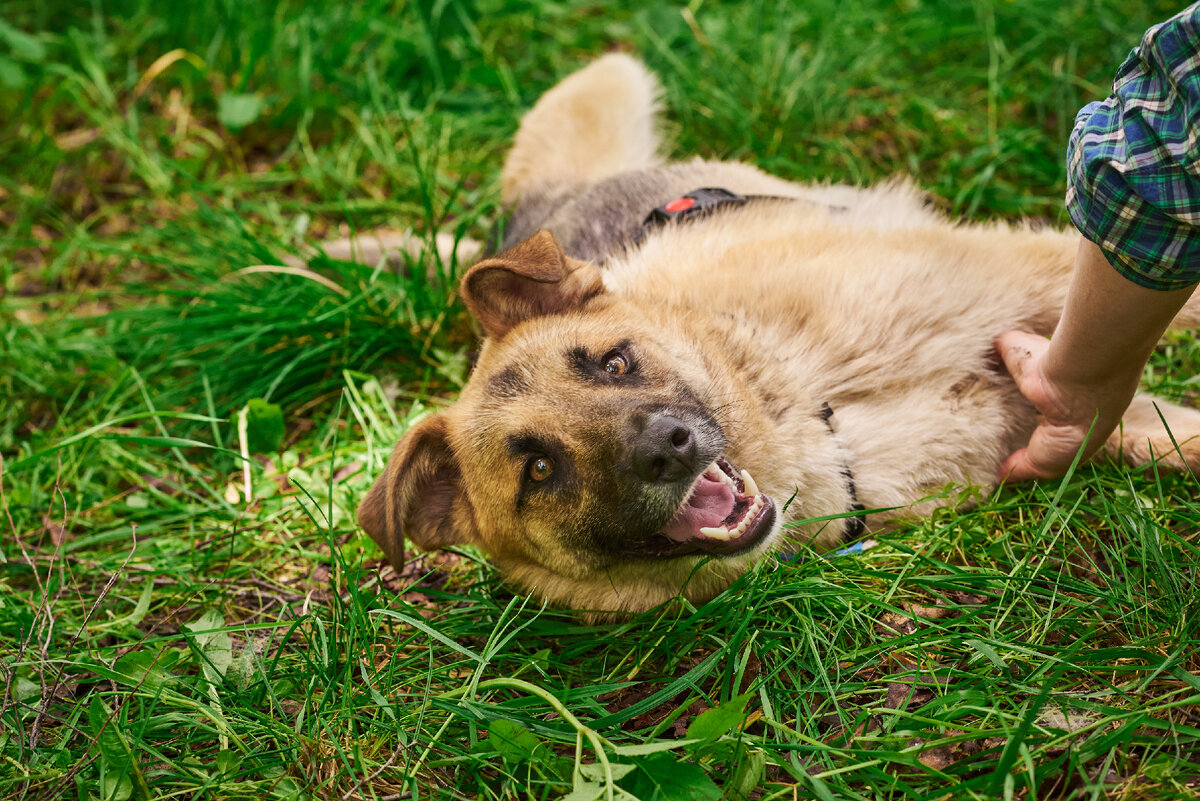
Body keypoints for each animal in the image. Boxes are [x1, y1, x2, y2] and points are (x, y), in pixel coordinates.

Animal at [355, 56, 1200, 618]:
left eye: (613, 362)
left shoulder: (1038, 283)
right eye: (537, 469)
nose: (670, 448)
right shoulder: (1069, 402)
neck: (803, 405)